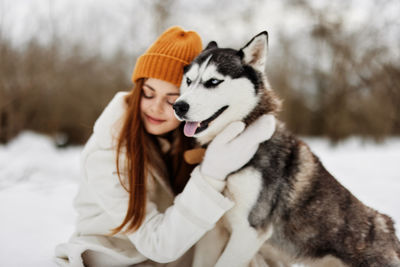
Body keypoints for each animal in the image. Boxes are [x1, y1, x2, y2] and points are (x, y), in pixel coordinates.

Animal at [173, 31, 400, 267]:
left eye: (213, 82)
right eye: (188, 81)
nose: (178, 106)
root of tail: (389, 229)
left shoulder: (248, 232)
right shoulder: (214, 232)